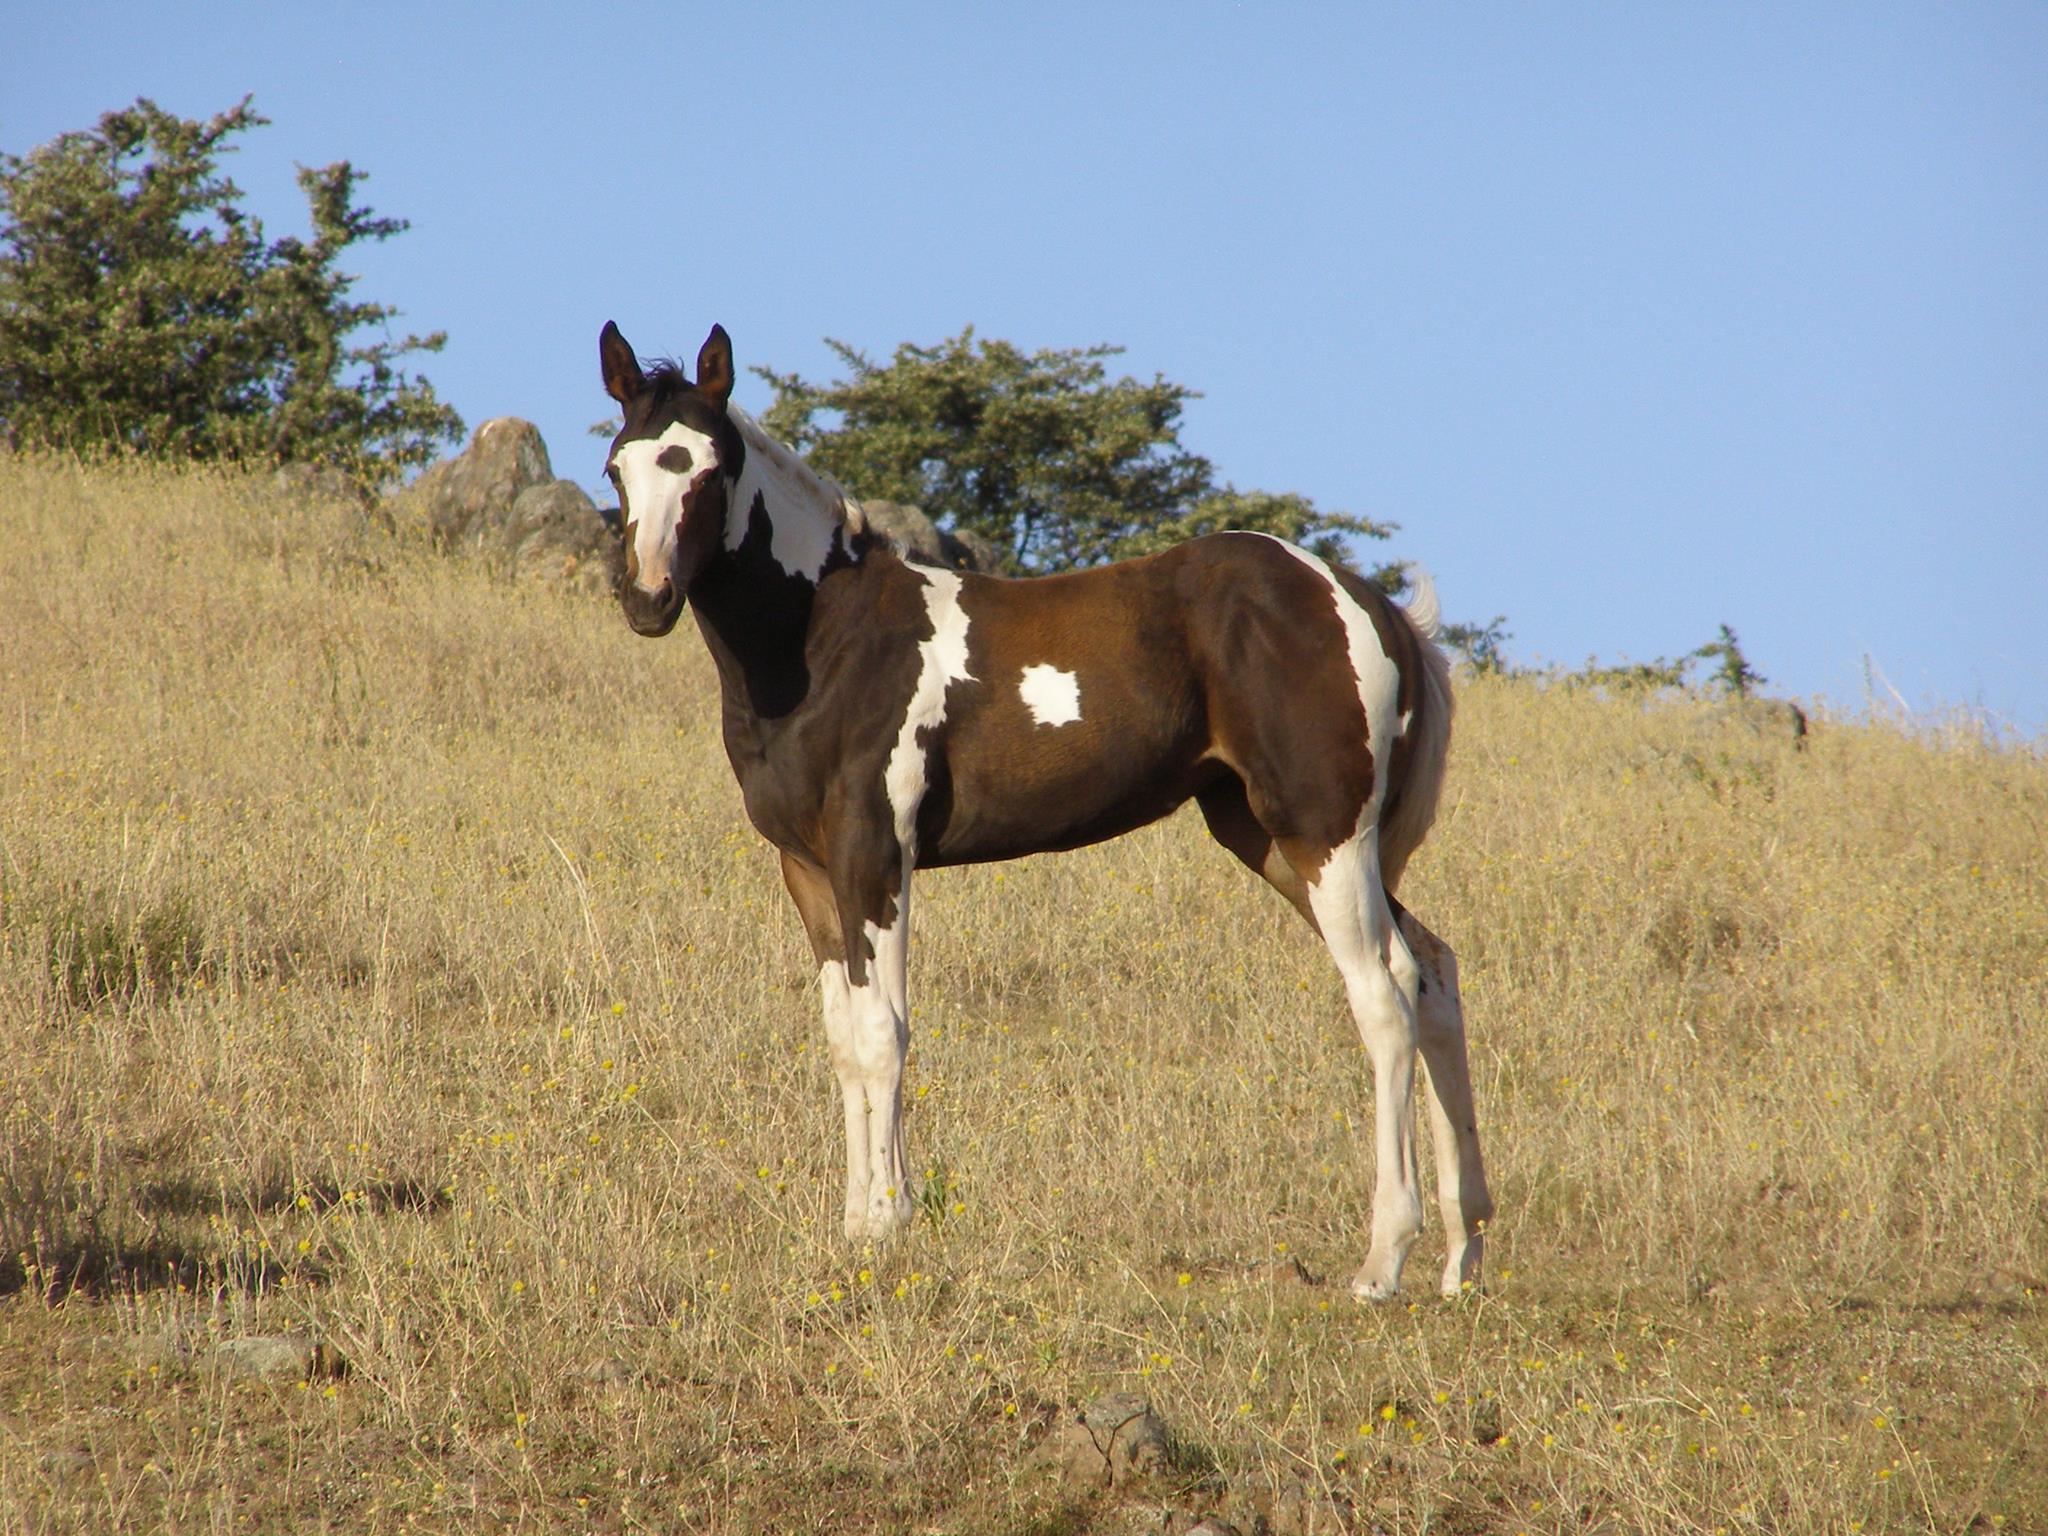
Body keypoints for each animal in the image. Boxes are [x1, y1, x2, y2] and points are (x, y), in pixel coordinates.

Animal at [598, 321, 1499, 1302]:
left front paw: (889, 1227)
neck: (824, 641)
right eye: (618, 467)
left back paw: (1384, 1259)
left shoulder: (875, 853)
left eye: (707, 468)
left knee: (1384, 996)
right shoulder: (806, 868)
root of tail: (1365, 602)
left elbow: (884, 1033)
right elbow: (843, 1038)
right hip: (1275, 838)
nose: (646, 600)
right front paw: (853, 1228)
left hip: (1323, 833)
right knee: (1435, 972)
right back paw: (1462, 1253)